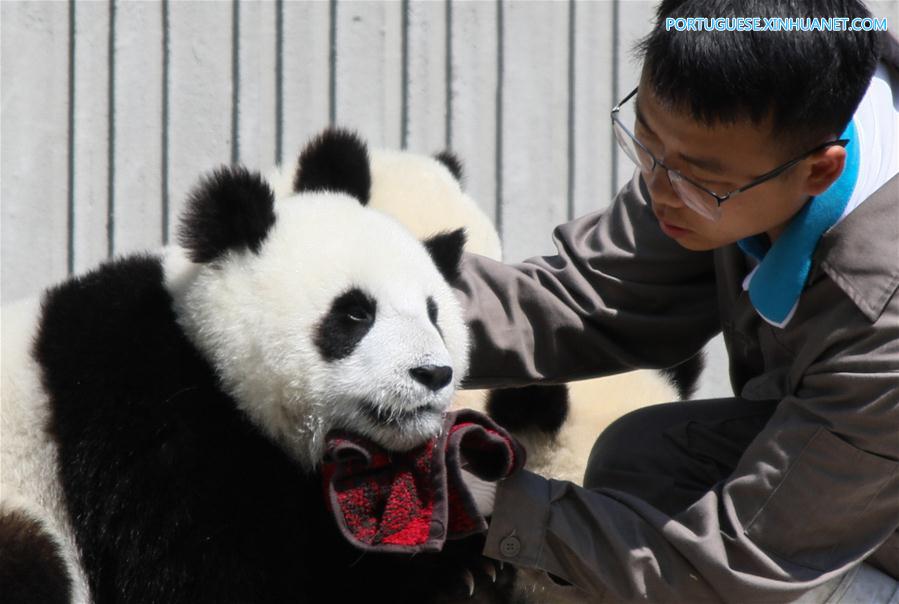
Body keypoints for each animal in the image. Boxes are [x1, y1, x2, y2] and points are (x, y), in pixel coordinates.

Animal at [0, 130, 520, 600]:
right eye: (356, 313)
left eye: (435, 314)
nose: (432, 374)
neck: (207, 350)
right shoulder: (146, 422)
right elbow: (210, 576)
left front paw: (469, 567)